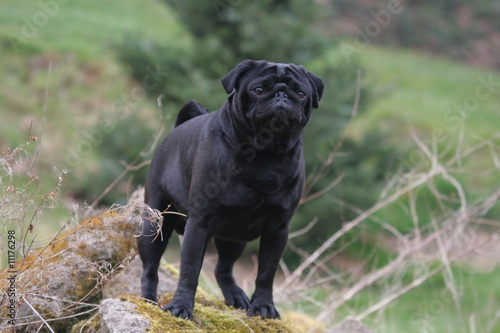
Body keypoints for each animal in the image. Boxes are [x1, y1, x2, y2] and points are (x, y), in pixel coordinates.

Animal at [137, 59, 324, 320]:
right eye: (258, 90)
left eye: (300, 93)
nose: (282, 95)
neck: (264, 154)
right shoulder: (199, 224)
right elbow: (190, 270)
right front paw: (181, 306)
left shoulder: (278, 230)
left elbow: (266, 273)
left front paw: (264, 307)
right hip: (155, 224)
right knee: (150, 268)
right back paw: (148, 300)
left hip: (234, 237)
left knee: (222, 268)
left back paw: (235, 296)